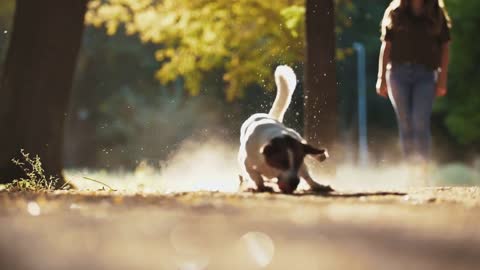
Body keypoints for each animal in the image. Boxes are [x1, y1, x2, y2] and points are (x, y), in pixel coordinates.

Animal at [237, 65, 334, 193]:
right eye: (282, 162)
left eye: (298, 161)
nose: (294, 183)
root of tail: (269, 116)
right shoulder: (247, 164)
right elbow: (256, 176)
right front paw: (262, 186)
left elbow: (306, 173)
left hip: (296, 136)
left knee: (307, 168)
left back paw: (318, 178)